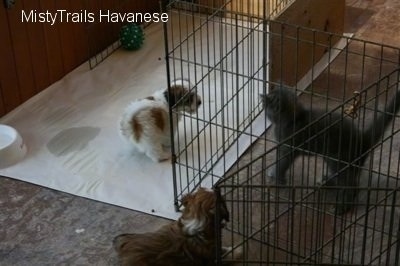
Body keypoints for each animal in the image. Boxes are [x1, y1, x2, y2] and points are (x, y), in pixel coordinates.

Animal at [262, 85, 400, 214]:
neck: (294, 118)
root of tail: (362, 139)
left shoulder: (289, 148)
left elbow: (282, 163)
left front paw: (277, 178)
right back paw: (327, 182)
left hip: (337, 157)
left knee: (352, 185)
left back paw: (342, 206)